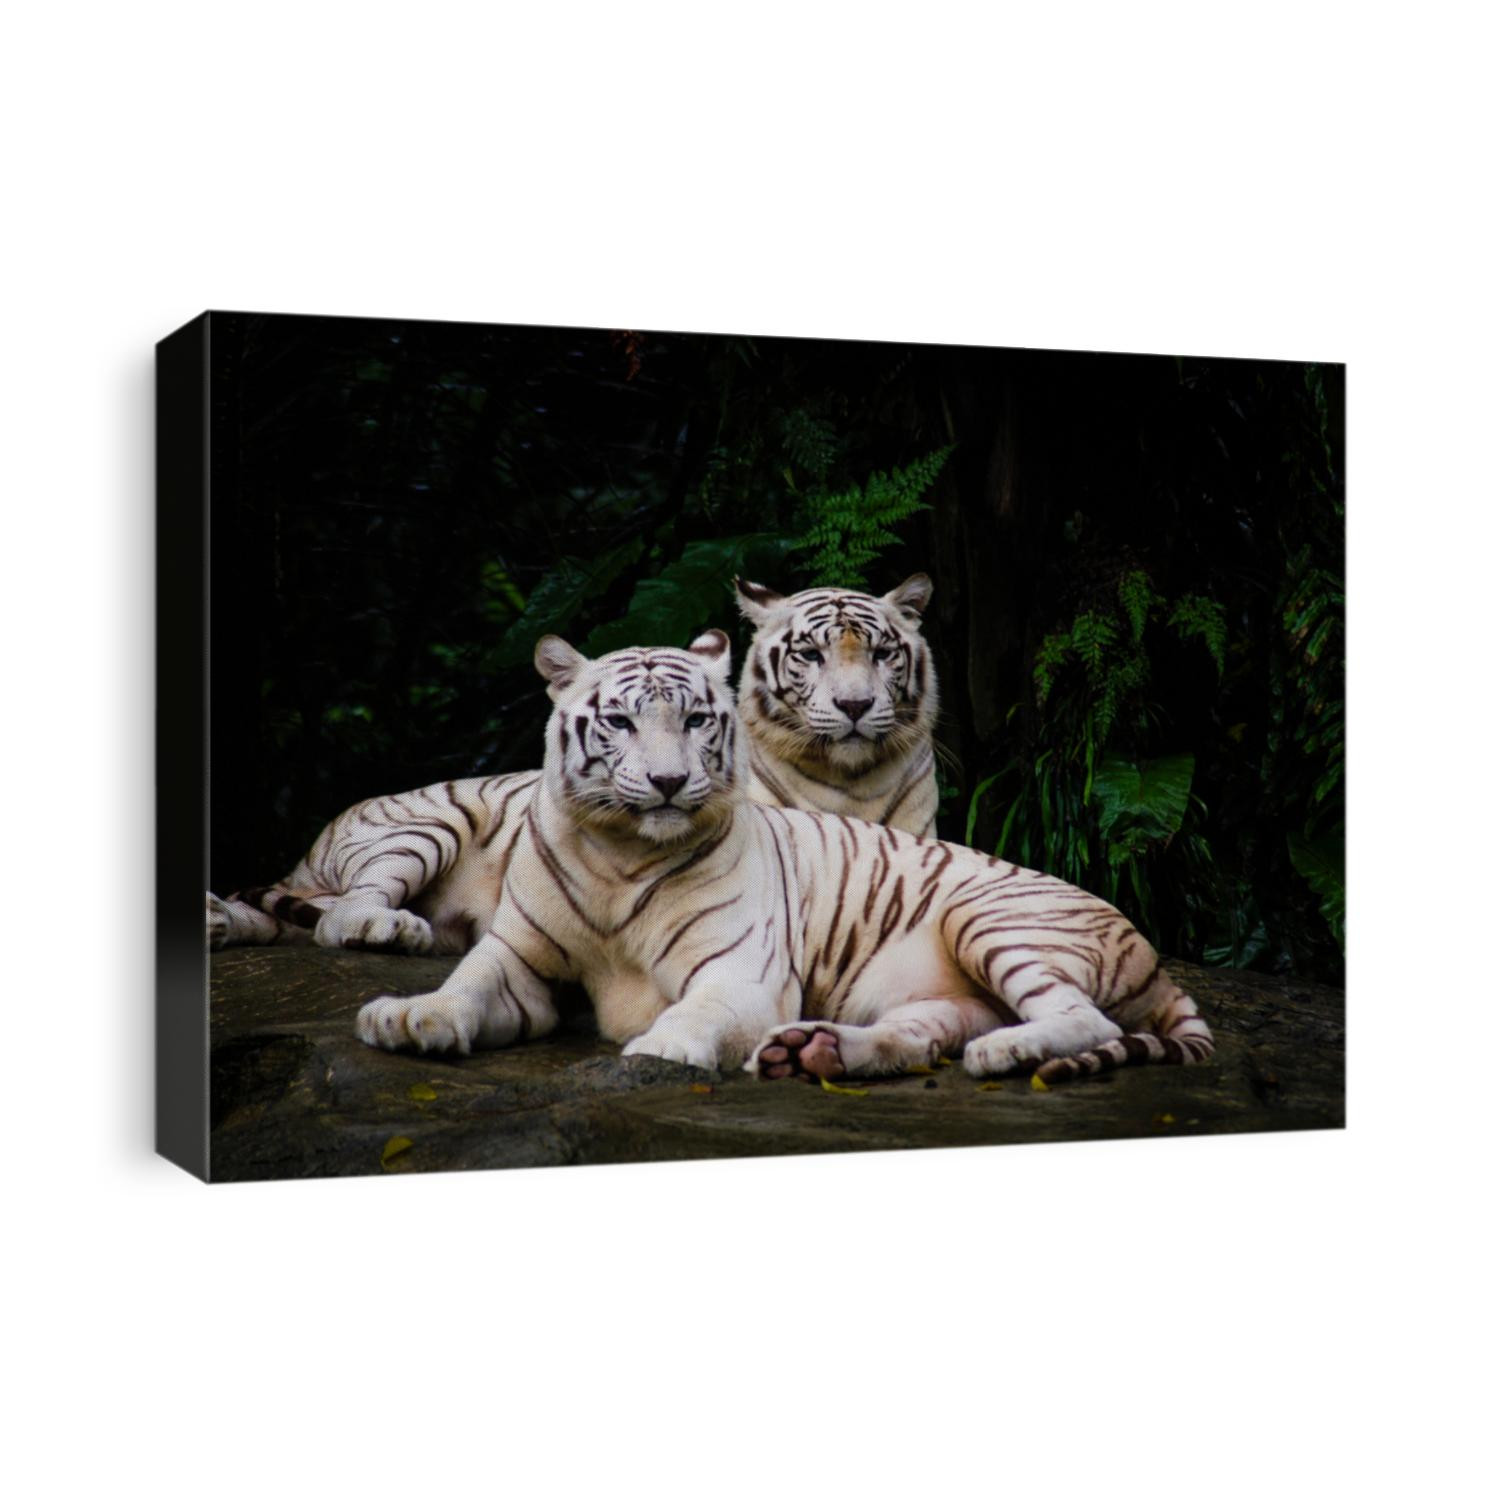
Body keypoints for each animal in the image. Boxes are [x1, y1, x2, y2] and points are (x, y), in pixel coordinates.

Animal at [207, 575, 944, 954]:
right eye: (811, 655)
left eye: (882, 654)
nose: (854, 706)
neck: (844, 780)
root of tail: (308, 852)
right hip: (421, 828)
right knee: (339, 912)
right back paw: (381, 927)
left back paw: (223, 921)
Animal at [355, 631, 1215, 1085]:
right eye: (623, 724)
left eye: (697, 720)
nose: (668, 783)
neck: (622, 855)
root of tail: (1151, 952)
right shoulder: (518, 955)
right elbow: (467, 984)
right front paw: (411, 1016)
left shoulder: (740, 976)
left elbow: (694, 1012)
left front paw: (659, 1046)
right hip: (939, 995)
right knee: (919, 1035)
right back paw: (817, 1050)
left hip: (993, 922)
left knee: (1080, 1016)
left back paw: (1005, 1051)